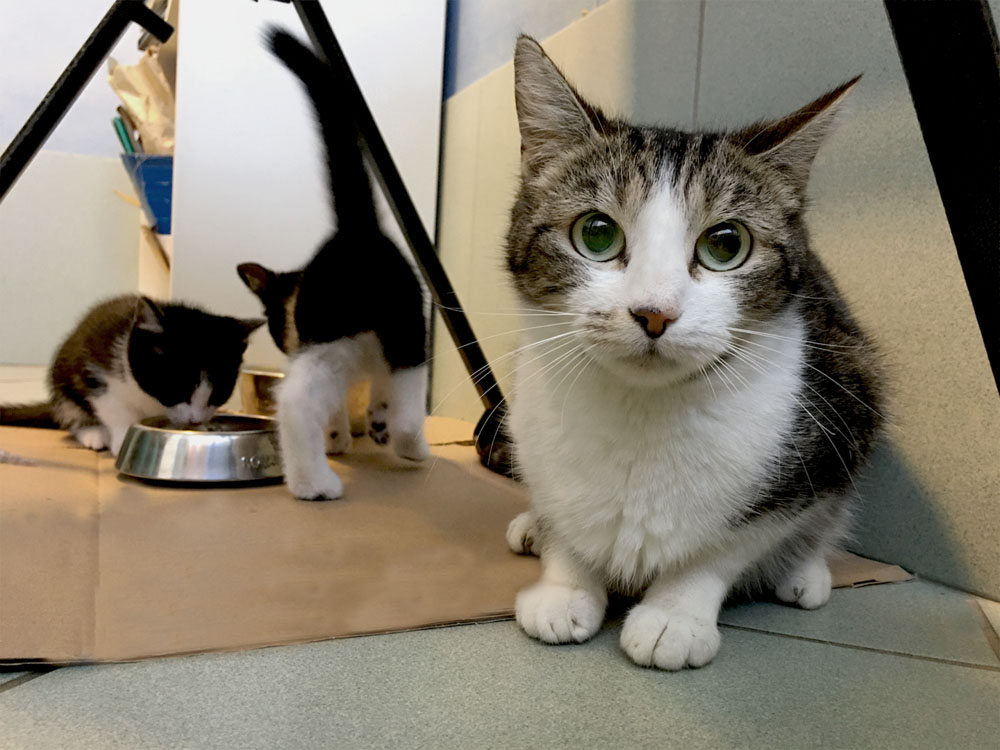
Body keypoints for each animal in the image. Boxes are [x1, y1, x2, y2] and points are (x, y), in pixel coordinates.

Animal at [0, 296, 264, 456]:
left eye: (220, 392)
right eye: (176, 387)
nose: (195, 419)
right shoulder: (96, 372)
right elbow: (113, 407)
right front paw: (122, 439)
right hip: (62, 380)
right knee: (70, 412)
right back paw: (93, 433)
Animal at [240, 29, 432, 502]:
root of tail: (355, 230)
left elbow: (352, 403)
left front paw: (348, 434)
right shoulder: (395, 340)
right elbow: (396, 392)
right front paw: (387, 428)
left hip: (330, 343)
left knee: (297, 398)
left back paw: (311, 481)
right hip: (397, 325)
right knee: (404, 394)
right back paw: (405, 447)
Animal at [508, 35, 884, 672]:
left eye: (725, 245)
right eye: (596, 233)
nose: (654, 312)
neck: (640, 411)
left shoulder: (828, 431)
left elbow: (726, 546)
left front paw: (674, 616)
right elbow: (565, 517)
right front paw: (565, 585)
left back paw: (803, 571)